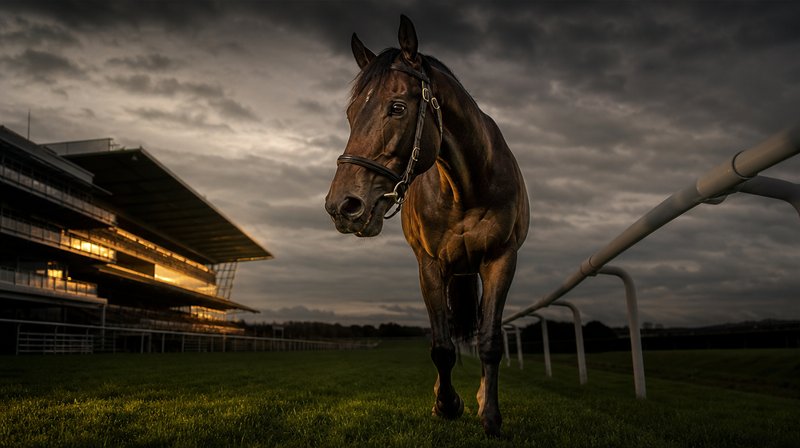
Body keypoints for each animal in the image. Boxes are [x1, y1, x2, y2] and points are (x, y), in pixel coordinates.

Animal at [324, 15, 529, 437]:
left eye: (397, 107)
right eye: (351, 114)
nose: (342, 206)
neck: (468, 187)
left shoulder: (501, 260)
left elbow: (489, 341)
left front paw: (490, 416)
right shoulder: (430, 265)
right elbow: (442, 346)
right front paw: (447, 404)